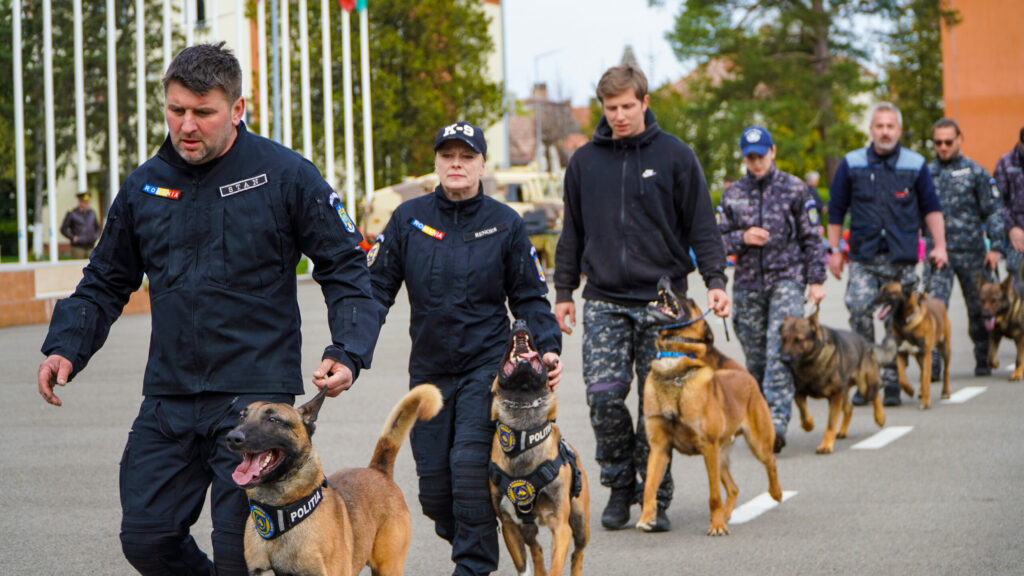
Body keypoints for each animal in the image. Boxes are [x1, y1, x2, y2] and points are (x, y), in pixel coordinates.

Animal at [226, 381, 442, 573]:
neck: (281, 515)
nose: (232, 437)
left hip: (388, 568)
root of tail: (378, 470)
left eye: (273, 420)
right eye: (241, 417)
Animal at [489, 317, 593, 573]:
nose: (520, 321)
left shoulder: (561, 526)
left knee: (578, 554)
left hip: (580, 524)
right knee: (536, 549)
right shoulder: (508, 524)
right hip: (529, 528)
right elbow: (524, 565)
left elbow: (557, 567)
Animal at [634, 276, 778, 537]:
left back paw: (775, 493)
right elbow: (650, 485)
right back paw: (729, 513)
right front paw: (647, 518)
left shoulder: (708, 447)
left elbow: (713, 496)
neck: (674, 369)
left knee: (770, 461)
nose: (664, 277)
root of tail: (742, 372)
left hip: (755, 442)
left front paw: (717, 525)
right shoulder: (659, 448)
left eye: (689, 300)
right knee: (733, 488)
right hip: (720, 456)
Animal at [778, 307, 884, 450]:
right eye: (783, 339)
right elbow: (803, 414)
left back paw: (880, 417)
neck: (810, 361)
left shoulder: (835, 396)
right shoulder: (799, 393)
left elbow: (830, 424)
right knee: (849, 409)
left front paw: (826, 445)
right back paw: (843, 431)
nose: (784, 359)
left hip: (865, 387)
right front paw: (809, 424)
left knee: (876, 394)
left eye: (798, 340)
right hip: (844, 393)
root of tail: (865, 342)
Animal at [872, 278, 950, 407]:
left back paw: (945, 392)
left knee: (945, 372)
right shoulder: (901, 353)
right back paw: (920, 391)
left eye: (887, 292)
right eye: (880, 290)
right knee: (922, 372)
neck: (905, 322)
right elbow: (901, 378)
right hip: (919, 357)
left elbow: (926, 378)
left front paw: (925, 402)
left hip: (944, 350)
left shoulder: (925, 353)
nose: (871, 302)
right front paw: (909, 390)